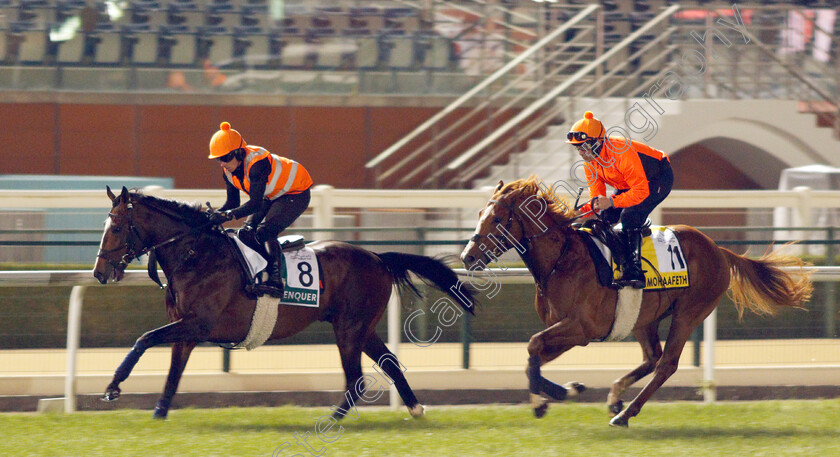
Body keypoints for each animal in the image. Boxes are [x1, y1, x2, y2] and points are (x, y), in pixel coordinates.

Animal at [96, 184, 476, 416]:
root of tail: (378, 257)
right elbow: (172, 375)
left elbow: (144, 339)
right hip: (361, 328)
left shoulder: (197, 323)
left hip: (349, 329)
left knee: (356, 380)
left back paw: (333, 420)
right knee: (390, 364)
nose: (100, 272)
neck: (196, 253)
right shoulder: (187, 331)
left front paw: (113, 386)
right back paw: (415, 409)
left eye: (116, 227)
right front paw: (157, 414)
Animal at [462, 176, 812, 426]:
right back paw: (616, 396)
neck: (561, 259)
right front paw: (560, 392)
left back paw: (624, 413)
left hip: (689, 312)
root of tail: (719, 250)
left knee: (666, 363)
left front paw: (550, 397)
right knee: (652, 357)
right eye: (479, 214)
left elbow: (533, 345)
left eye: (496, 219)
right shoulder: (570, 332)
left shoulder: (581, 328)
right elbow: (531, 358)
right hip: (644, 317)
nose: (468, 257)